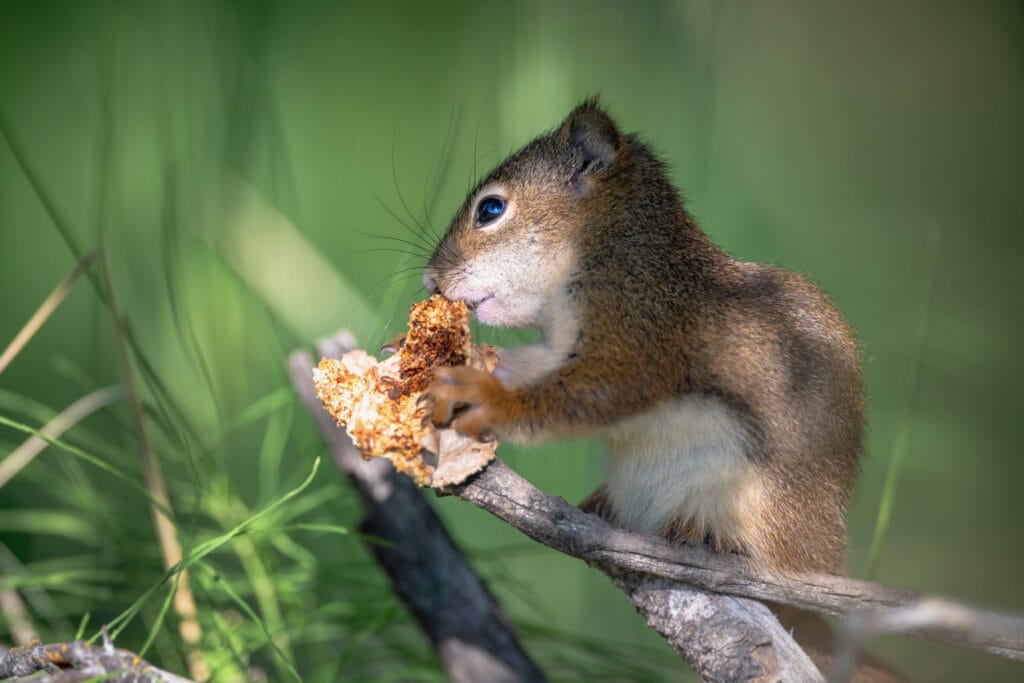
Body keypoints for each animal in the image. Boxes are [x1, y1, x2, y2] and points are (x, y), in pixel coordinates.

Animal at [423, 97, 864, 577]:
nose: (430, 279)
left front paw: (486, 400)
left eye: (490, 209)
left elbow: (600, 391)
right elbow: (531, 364)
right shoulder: (563, 345)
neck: (604, 244)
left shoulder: (641, 325)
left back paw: (701, 534)